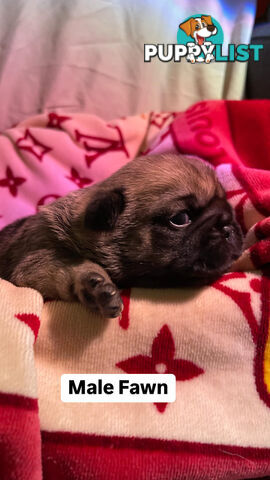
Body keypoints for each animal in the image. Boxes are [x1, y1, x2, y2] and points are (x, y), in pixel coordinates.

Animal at [0, 156, 243, 316]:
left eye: (228, 207)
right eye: (181, 218)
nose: (228, 227)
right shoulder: (38, 259)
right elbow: (70, 265)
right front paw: (92, 286)